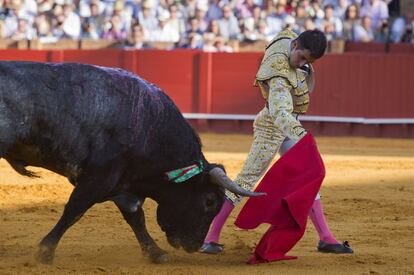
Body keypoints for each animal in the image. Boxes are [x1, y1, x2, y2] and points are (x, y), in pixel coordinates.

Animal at [0, 61, 264, 264]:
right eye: (209, 202)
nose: (194, 244)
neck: (151, 128)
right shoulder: (99, 178)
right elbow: (74, 211)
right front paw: (44, 252)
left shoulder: (123, 185)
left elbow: (136, 218)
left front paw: (155, 253)